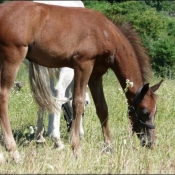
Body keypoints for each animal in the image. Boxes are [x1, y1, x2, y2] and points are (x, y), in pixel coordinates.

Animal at [26, 0, 91, 150]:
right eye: (87, 103)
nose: (71, 128)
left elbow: (48, 98)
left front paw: (43, 133)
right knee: (58, 90)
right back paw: (57, 141)